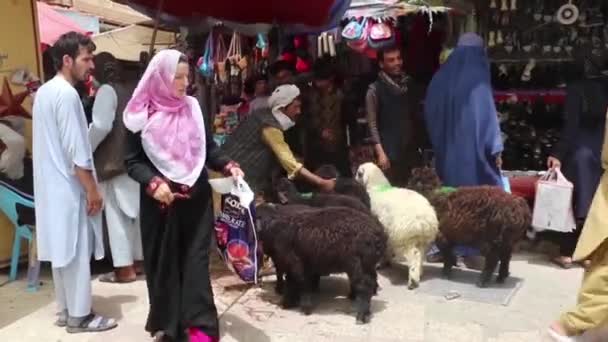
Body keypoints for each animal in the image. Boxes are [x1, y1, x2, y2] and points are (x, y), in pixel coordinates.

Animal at [255, 204, 388, 324]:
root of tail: (379, 233)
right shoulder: (300, 265)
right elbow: (293, 282)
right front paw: (289, 303)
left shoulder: (297, 264)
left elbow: (300, 284)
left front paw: (302, 307)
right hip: (368, 265)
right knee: (370, 283)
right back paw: (366, 310)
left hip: (359, 265)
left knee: (364, 287)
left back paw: (361, 316)